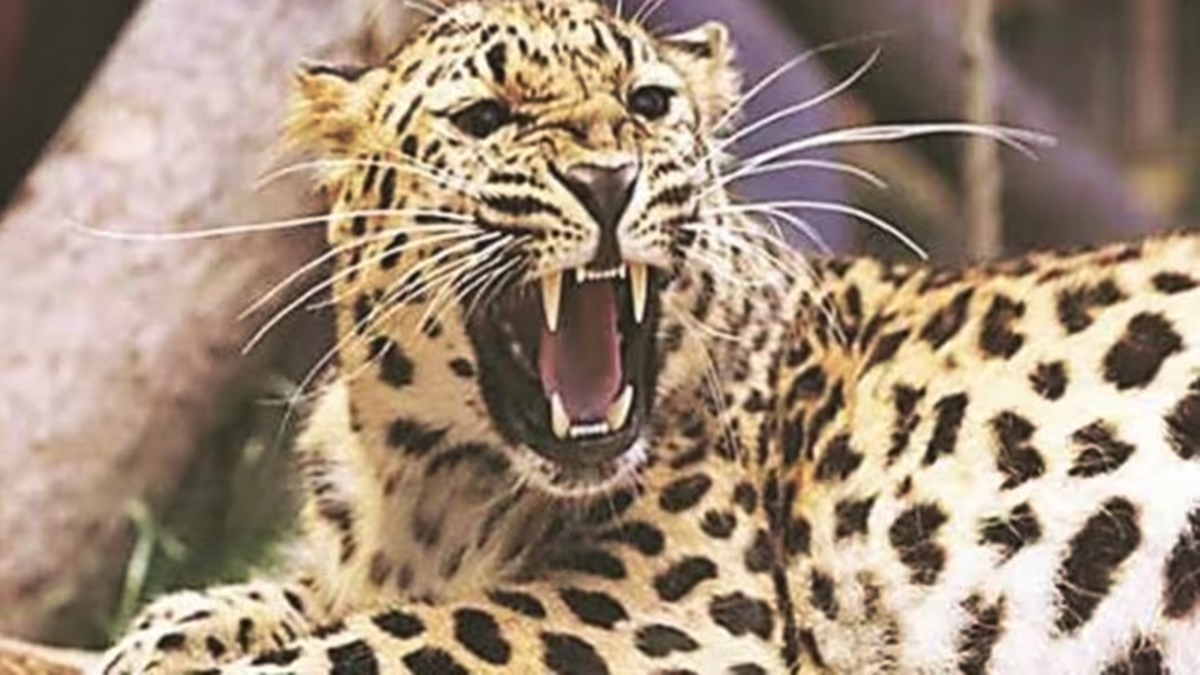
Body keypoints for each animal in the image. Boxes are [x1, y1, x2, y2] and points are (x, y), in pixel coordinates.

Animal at [98, 0, 1200, 673]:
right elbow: (279, 600)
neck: (424, 491)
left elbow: (384, 641)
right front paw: (170, 627)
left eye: (648, 103)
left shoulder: (672, 605)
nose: (607, 179)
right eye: (485, 117)